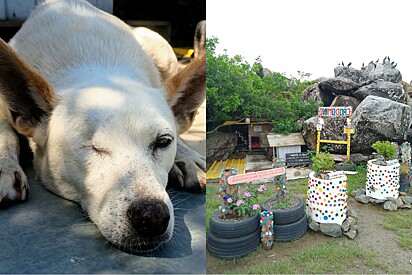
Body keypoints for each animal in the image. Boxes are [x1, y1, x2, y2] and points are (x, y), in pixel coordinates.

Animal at [0, 0, 206, 253]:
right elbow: (5, 132)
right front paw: (4, 166)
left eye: (163, 142)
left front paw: (186, 156)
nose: (153, 217)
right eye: (92, 147)